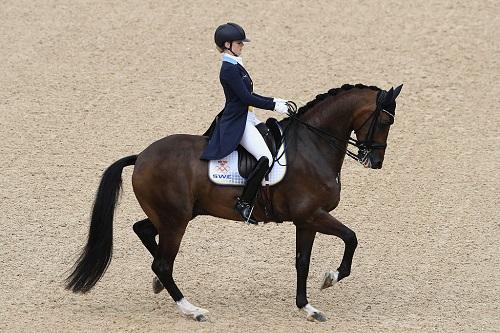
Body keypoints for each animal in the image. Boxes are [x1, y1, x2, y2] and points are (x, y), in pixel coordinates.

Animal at [65, 83, 402, 322]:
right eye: (385, 120)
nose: (376, 161)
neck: (312, 145)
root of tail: (142, 156)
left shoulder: (306, 220)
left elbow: (302, 262)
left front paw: (308, 308)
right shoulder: (312, 214)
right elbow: (351, 238)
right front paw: (331, 278)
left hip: (175, 215)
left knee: (144, 231)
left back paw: (159, 285)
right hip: (176, 220)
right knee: (162, 262)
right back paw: (192, 310)